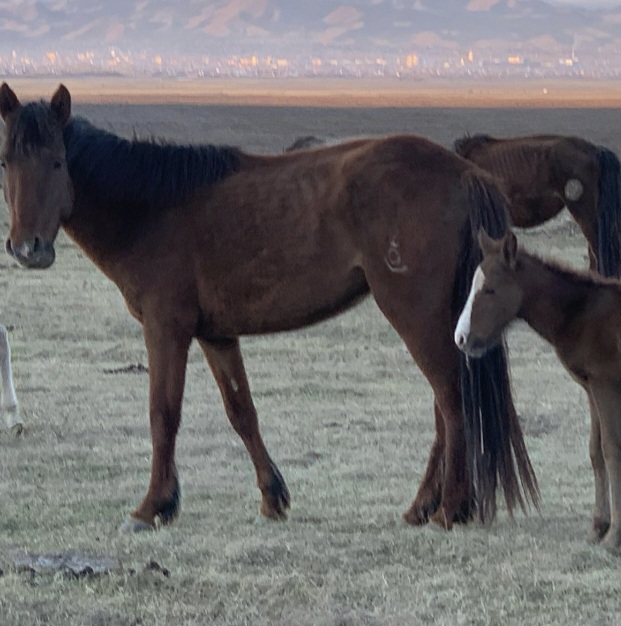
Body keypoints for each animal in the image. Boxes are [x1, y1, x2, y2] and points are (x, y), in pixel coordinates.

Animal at [0, 82, 539, 532]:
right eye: (6, 163)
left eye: (57, 162)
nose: (28, 249)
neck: (153, 209)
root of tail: (465, 172)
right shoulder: (216, 335)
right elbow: (242, 411)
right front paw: (272, 496)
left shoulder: (165, 329)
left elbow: (163, 413)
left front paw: (152, 507)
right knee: (443, 405)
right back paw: (422, 506)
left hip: (415, 313)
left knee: (451, 399)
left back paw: (451, 508)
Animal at [454, 229, 621, 552]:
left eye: (490, 290)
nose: (461, 337)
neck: (581, 311)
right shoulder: (591, 388)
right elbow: (595, 451)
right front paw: (598, 526)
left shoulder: (605, 385)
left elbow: (611, 450)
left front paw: (614, 535)